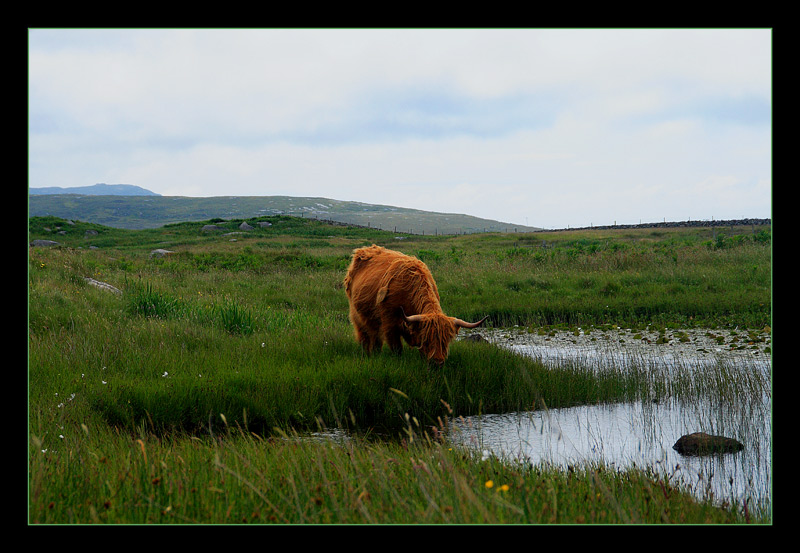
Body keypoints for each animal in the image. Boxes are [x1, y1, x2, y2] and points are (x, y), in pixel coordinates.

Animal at [342, 245, 484, 364]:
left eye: (446, 340)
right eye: (427, 339)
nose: (437, 362)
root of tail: (362, 250)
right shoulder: (390, 324)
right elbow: (397, 348)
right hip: (357, 315)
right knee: (365, 336)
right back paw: (368, 354)